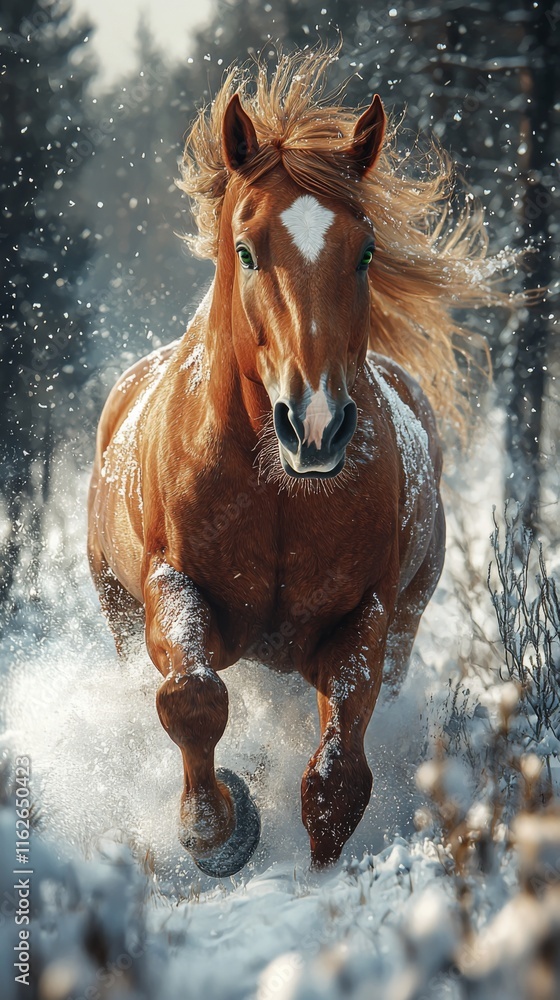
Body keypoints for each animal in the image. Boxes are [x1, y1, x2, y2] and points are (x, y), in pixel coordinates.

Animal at [87, 49, 514, 877]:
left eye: (366, 250)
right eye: (247, 250)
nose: (314, 425)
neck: (280, 493)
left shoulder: (366, 617)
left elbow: (338, 773)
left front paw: (317, 866)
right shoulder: (169, 584)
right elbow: (192, 698)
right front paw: (217, 831)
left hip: (405, 623)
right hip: (118, 611)